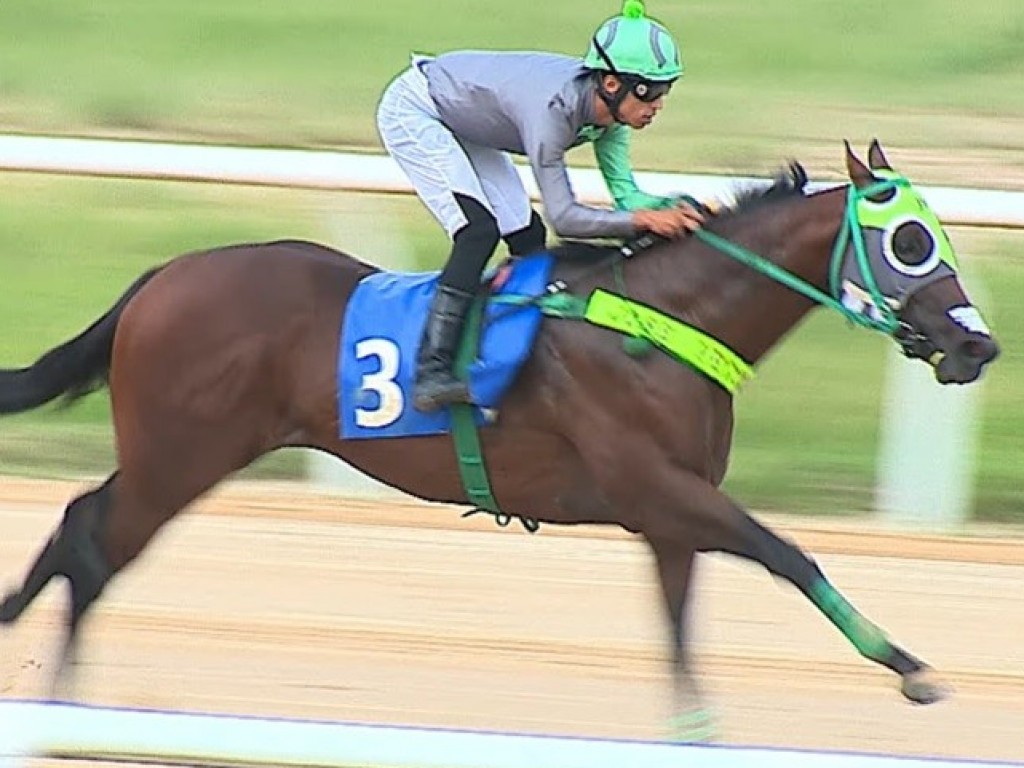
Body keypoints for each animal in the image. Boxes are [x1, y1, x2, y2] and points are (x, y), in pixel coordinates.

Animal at [0, 141, 995, 741]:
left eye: (938, 237)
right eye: (910, 241)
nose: (977, 344)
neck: (661, 324)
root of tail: (164, 275)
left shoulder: (667, 518)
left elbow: (679, 629)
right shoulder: (663, 489)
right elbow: (792, 555)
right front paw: (912, 670)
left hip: (176, 454)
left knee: (84, 525)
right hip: (182, 455)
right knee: (95, 544)